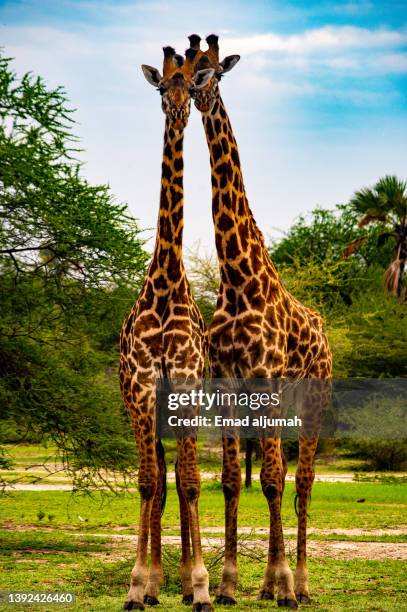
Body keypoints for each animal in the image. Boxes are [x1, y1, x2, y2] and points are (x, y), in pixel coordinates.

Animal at [186, 34, 334, 608]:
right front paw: (229, 585)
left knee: (303, 478)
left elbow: (271, 479)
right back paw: (271, 582)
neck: (236, 278)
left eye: (212, 72)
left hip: (313, 396)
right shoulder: (226, 381)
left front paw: (286, 587)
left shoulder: (267, 378)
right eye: (189, 68)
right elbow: (232, 479)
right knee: (286, 472)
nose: (192, 95)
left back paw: (302, 583)